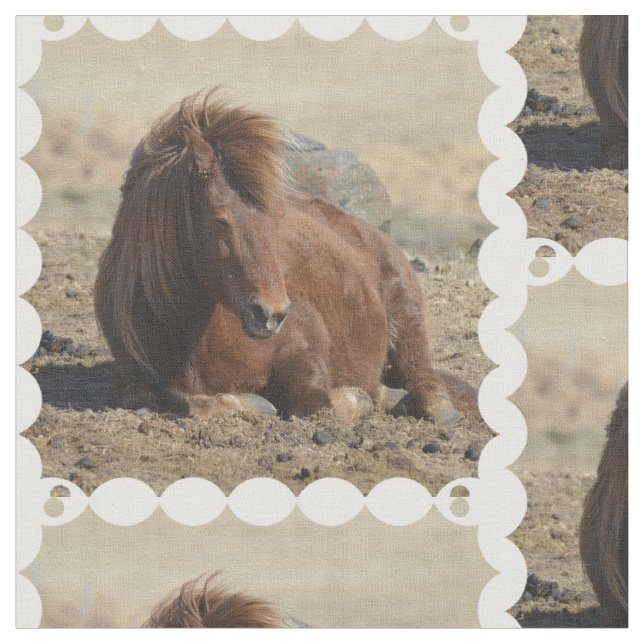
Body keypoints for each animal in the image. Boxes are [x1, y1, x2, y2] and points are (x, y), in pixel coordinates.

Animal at [95, 88, 468, 426]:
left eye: (275, 217)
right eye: (220, 219)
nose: (270, 314)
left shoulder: (304, 345)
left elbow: (316, 403)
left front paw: (355, 398)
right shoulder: (134, 380)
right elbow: (172, 399)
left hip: (407, 321)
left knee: (423, 379)